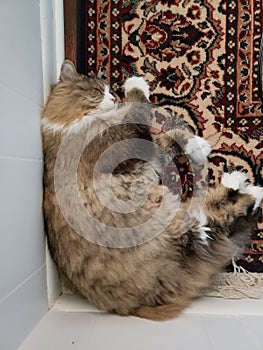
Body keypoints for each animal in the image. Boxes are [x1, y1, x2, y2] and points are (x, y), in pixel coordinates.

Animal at [41, 59, 263, 320]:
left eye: (108, 90)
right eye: (97, 91)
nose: (114, 97)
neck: (65, 126)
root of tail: (133, 308)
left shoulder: (142, 159)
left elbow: (166, 140)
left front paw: (198, 145)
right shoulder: (122, 141)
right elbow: (140, 108)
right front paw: (135, 82)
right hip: (178, 224)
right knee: (212, 224)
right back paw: (242, 185)